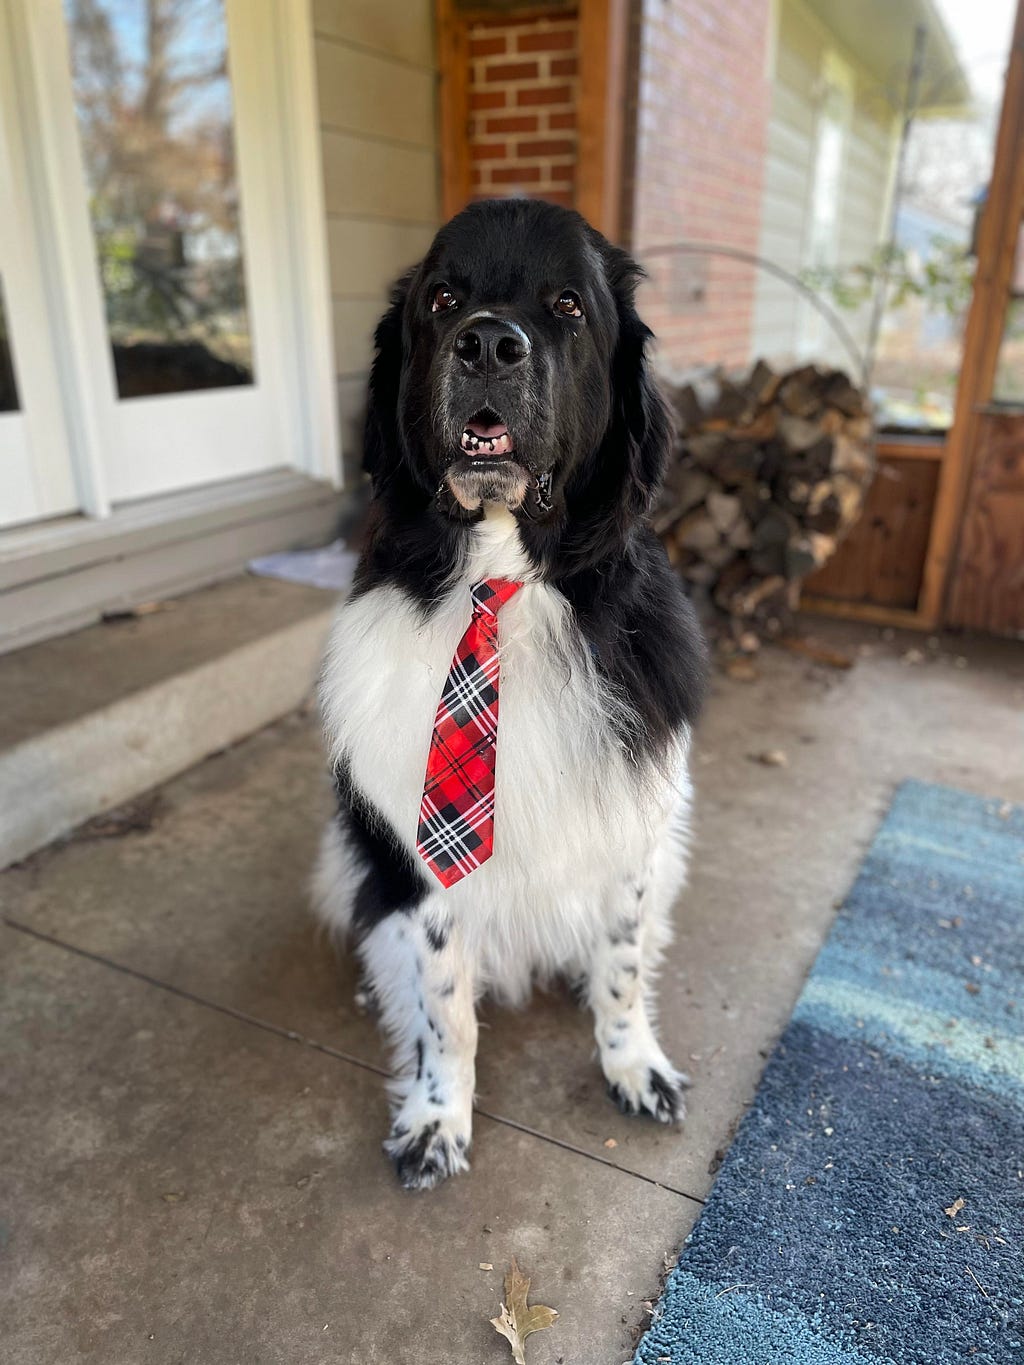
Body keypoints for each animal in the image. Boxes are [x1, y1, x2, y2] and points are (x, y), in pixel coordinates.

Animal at [316, 197, 709, 1190]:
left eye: (568, 304)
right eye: (442, 298)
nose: (490, 343)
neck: (503, 583)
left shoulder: (632, 835)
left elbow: (621, 966)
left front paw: (632, 1063)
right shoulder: (422, 867)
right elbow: (445, 1006)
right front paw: (438, 1115)